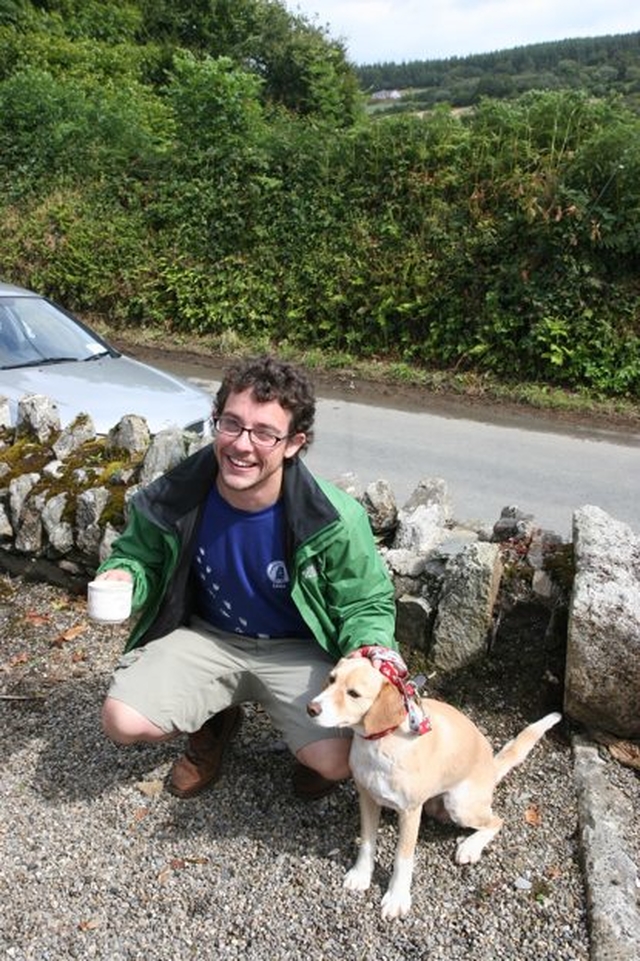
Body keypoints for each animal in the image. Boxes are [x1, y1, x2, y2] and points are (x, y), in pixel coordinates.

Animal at [304, 648, 560, 920]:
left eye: (353, 693)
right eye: (331, 679)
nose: (311, 708)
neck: (380, 744)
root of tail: (492, 769)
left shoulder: (410, 811)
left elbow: (402, 858)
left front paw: (397, 898)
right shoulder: (368, 798)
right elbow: (367, 842)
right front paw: (361, 875)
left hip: (460, 804)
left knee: (497, 821)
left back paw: (470, 847)